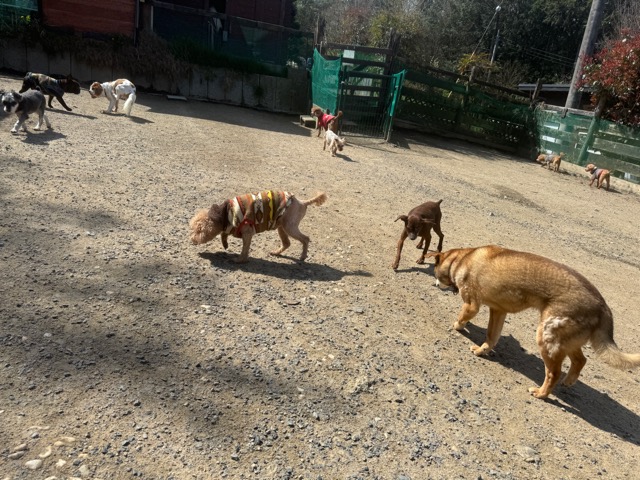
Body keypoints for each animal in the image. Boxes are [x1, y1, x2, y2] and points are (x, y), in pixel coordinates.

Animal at [189, 190, 327, 263]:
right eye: (193, 230)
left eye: (199, 231)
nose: (191, 239)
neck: (225, 213)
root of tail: (303, 202)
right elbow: (225, 235)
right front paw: (226, 245)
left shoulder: (247, 232)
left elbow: (244, 249)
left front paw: (239, 259)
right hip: (281, 226)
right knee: (287, 243)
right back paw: (276, 252)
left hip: (290, 226)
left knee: (306, 239)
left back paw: (302, 257)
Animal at [427, 245, 640, 399]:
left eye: (435, 271)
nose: (434, 283)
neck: (461, 259)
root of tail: (603, 307)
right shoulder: (498, 311)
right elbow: (492, 336)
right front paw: (482, 350)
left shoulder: (472, 305)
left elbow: (462, 317)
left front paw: (457, 326)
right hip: (565, 340)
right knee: (580, 360)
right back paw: (569, 381)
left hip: (547, 336)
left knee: (553, 373)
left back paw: (541, 393)